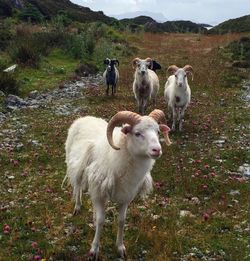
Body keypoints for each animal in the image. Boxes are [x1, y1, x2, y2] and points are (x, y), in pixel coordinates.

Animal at [62, 108, 172, 258]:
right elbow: (101, 221)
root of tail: (85, 117)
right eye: (137, 133)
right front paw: (94, 249)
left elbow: (121, 221)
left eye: (158, 132)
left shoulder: (126, 196)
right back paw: (78, 207)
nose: (157, 150)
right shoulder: (100, 192)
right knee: (78, 186)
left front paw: (120, 247)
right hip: (76, 166)